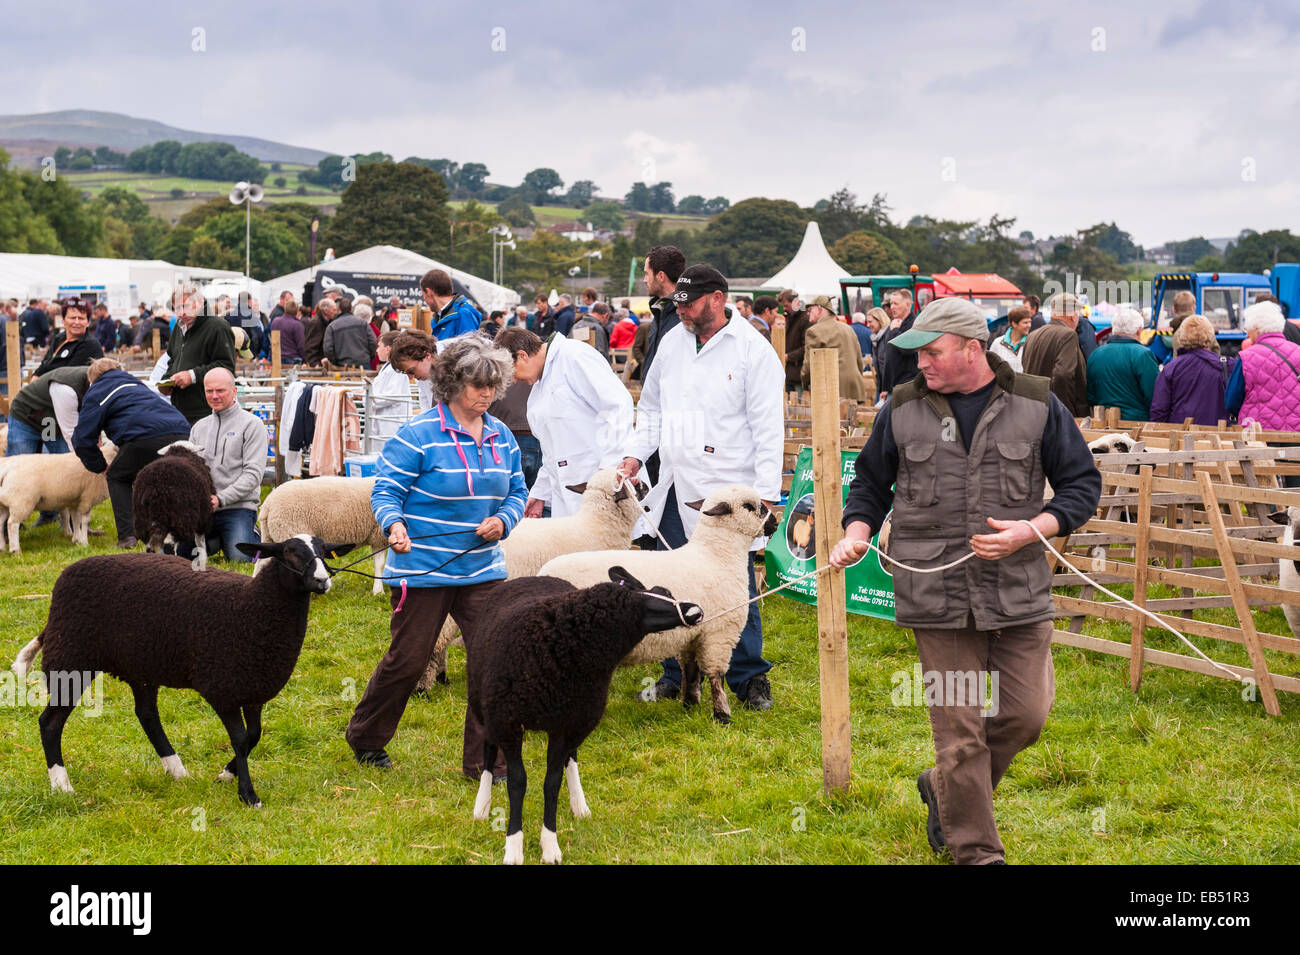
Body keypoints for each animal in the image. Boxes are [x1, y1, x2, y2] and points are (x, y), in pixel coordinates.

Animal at [16, 535, 351, 810]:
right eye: (290, 553)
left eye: (324, 552)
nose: (322, 580)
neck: (250, 606)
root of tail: (66, 575)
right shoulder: (222, 688)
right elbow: (241, 739)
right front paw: (247, 794)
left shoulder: (253, 687)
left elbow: (254, 735)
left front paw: (226, 774)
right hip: (72, 657)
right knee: (50, 722)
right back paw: (62, 785)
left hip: (140, 665)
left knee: (147, 715)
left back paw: (176, 770)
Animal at [416, 467, 650, 691]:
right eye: (631, 482)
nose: (646, 485)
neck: (595, 527)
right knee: (435, 641)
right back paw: (423, 687)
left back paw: (442, 678)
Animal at [462, 566, 696, 867]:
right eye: (646, 602)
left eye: (665, 592)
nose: (695, 611)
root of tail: (533, 577)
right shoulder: (509, 723)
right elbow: (517, 783)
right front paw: (513, 847)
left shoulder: (565, 724)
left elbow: (552, 783)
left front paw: (550, 845)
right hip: (485, 704)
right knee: (489, 750)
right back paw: (481, 806)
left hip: (578, 717)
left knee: (570, 757)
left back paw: (578, 804)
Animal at [540, 485, 780, 722]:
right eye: (749, 506)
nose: (775, 523)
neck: (716, 556)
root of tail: (543, 573)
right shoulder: (719, 635)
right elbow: (716, 677)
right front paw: (722, 716)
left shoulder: (692, 635)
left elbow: (691, 673)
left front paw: (690, 706)